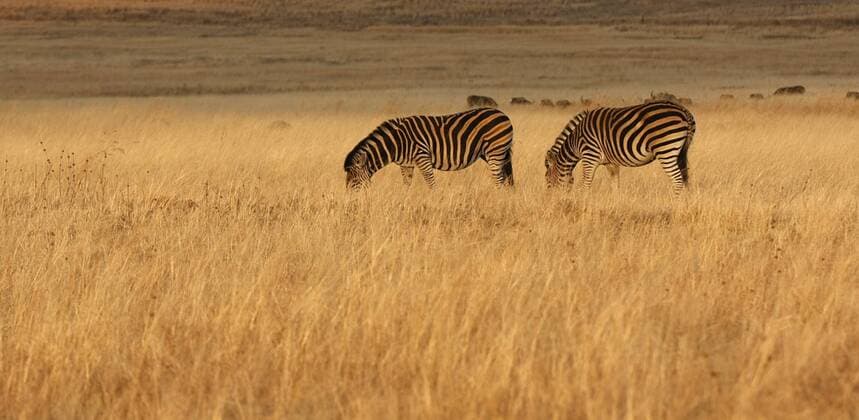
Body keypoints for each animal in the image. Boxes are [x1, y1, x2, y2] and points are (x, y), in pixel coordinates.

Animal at [344, 107, 514, 189]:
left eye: (353, 179)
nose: (351, 199)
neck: (396, 143)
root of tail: (503, 114)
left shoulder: (422, 156)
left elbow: (431, 183)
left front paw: (436, 200)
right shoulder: (406, 163)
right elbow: (407, 185)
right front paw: (406, 201)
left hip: (495, 150)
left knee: (499, 179)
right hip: (491, 153)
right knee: (506, 177)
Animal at [545, 100, 696, 193]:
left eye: (547, 180)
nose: (550, 200)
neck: (575, 143)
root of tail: (684, 111)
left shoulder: (590, 155)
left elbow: (586, 183)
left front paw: (583, 202)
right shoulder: (610, 162)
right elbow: (615, 185)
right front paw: (616, 202)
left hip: (666, 150)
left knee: (677, 180)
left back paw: (675, 205)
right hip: (681, 152)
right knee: (685, 179)